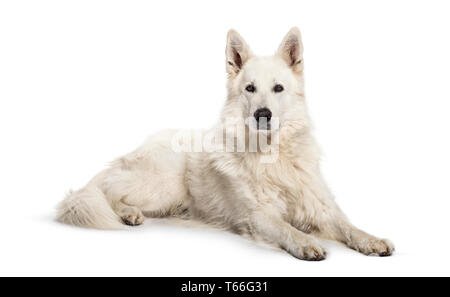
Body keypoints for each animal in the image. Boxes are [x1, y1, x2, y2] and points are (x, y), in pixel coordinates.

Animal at [57, 27, 394, 260]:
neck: (274, 157)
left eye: (278, 88)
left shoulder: (320, 208)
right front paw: (306, 242)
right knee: (107, 192)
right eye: (250, 88)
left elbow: (349, 226)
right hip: (163, 183)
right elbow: (287, 228)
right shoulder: (259, 215)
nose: (262, 114)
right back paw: (127, 213)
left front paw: (372, 240)